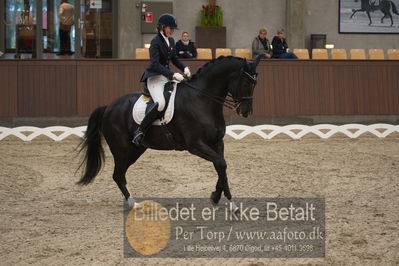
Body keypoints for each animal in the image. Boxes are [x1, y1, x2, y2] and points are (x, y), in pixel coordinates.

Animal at [77, 56, 262, 209]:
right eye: (246, 83)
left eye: (255, 84)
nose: (246, 112)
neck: (202, 99)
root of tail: (108, 107)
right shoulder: (196, 145)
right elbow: (221, 164)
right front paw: (229, 204)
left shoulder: (217, 142)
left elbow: (221, 166)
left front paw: (219, 198)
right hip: (121, 149)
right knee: (117, 175)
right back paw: (133, 204)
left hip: (136, 149)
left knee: (120, 174)